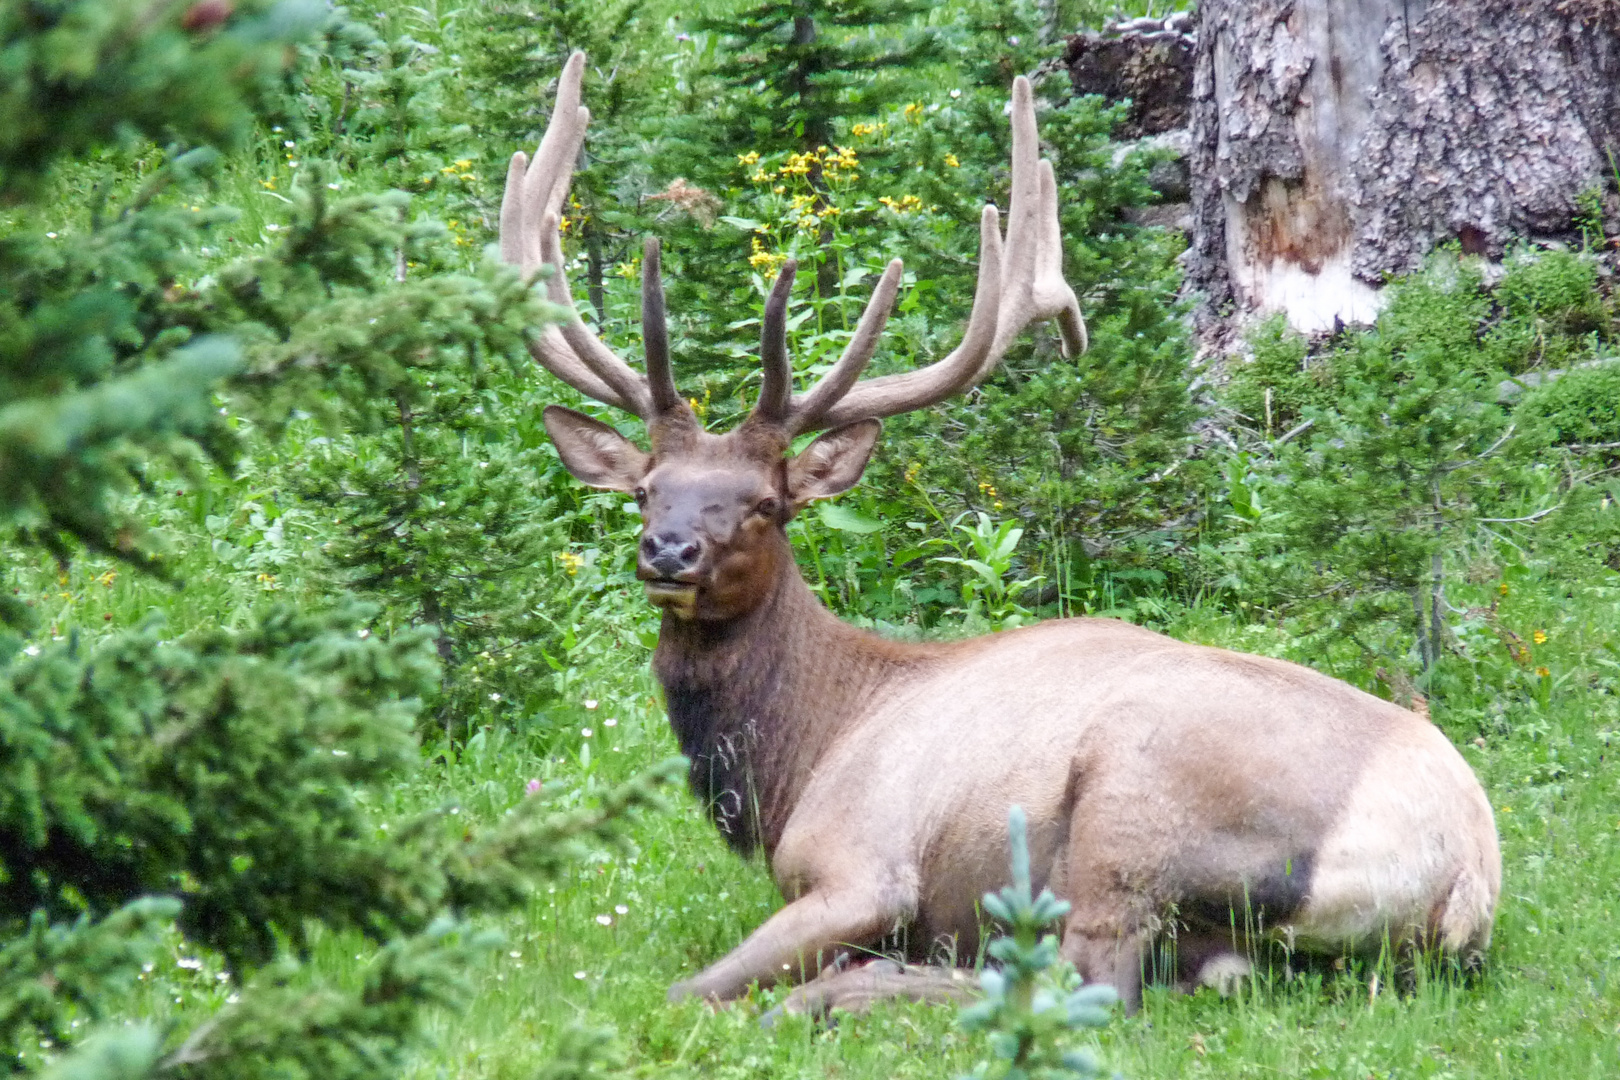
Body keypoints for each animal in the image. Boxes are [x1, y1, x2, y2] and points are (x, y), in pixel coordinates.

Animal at [498, 50, 1496, 1016]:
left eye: (764, 504)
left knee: (1089, 987)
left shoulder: (860, 866)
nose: (669, 551)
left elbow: (681, 992)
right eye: (647, 492)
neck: (800, 752)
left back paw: (850, 993)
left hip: (1132, 803)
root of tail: (1469, 876)